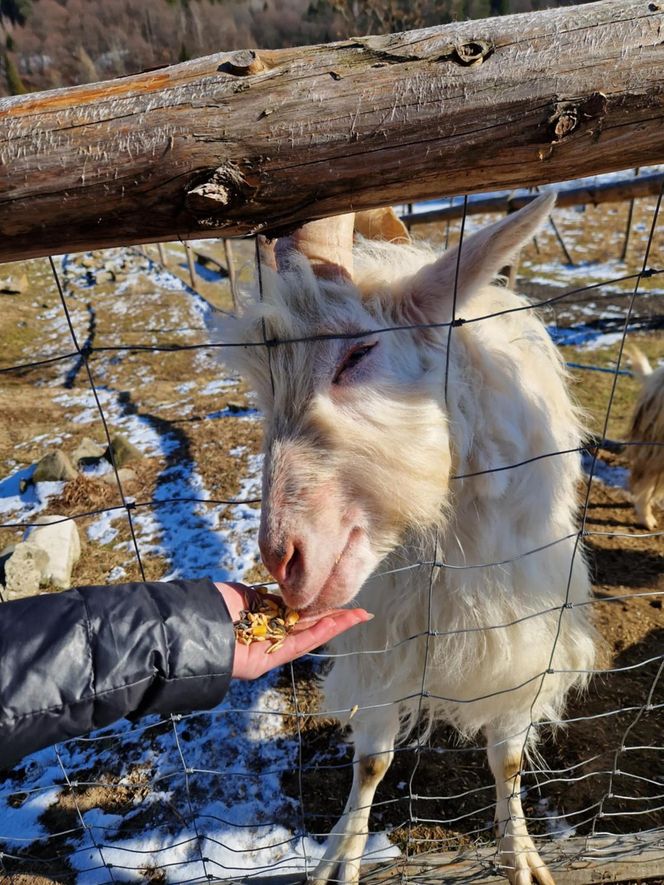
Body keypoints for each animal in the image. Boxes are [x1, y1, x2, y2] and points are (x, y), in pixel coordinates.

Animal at [214, 199, 596, 884]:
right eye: (263, 386)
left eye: (359, 353)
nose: (285, 559)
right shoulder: (380, 643)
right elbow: (372, 762)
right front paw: (339, 856)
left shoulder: (527, 642)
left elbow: (508, 759)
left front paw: (520, 854)